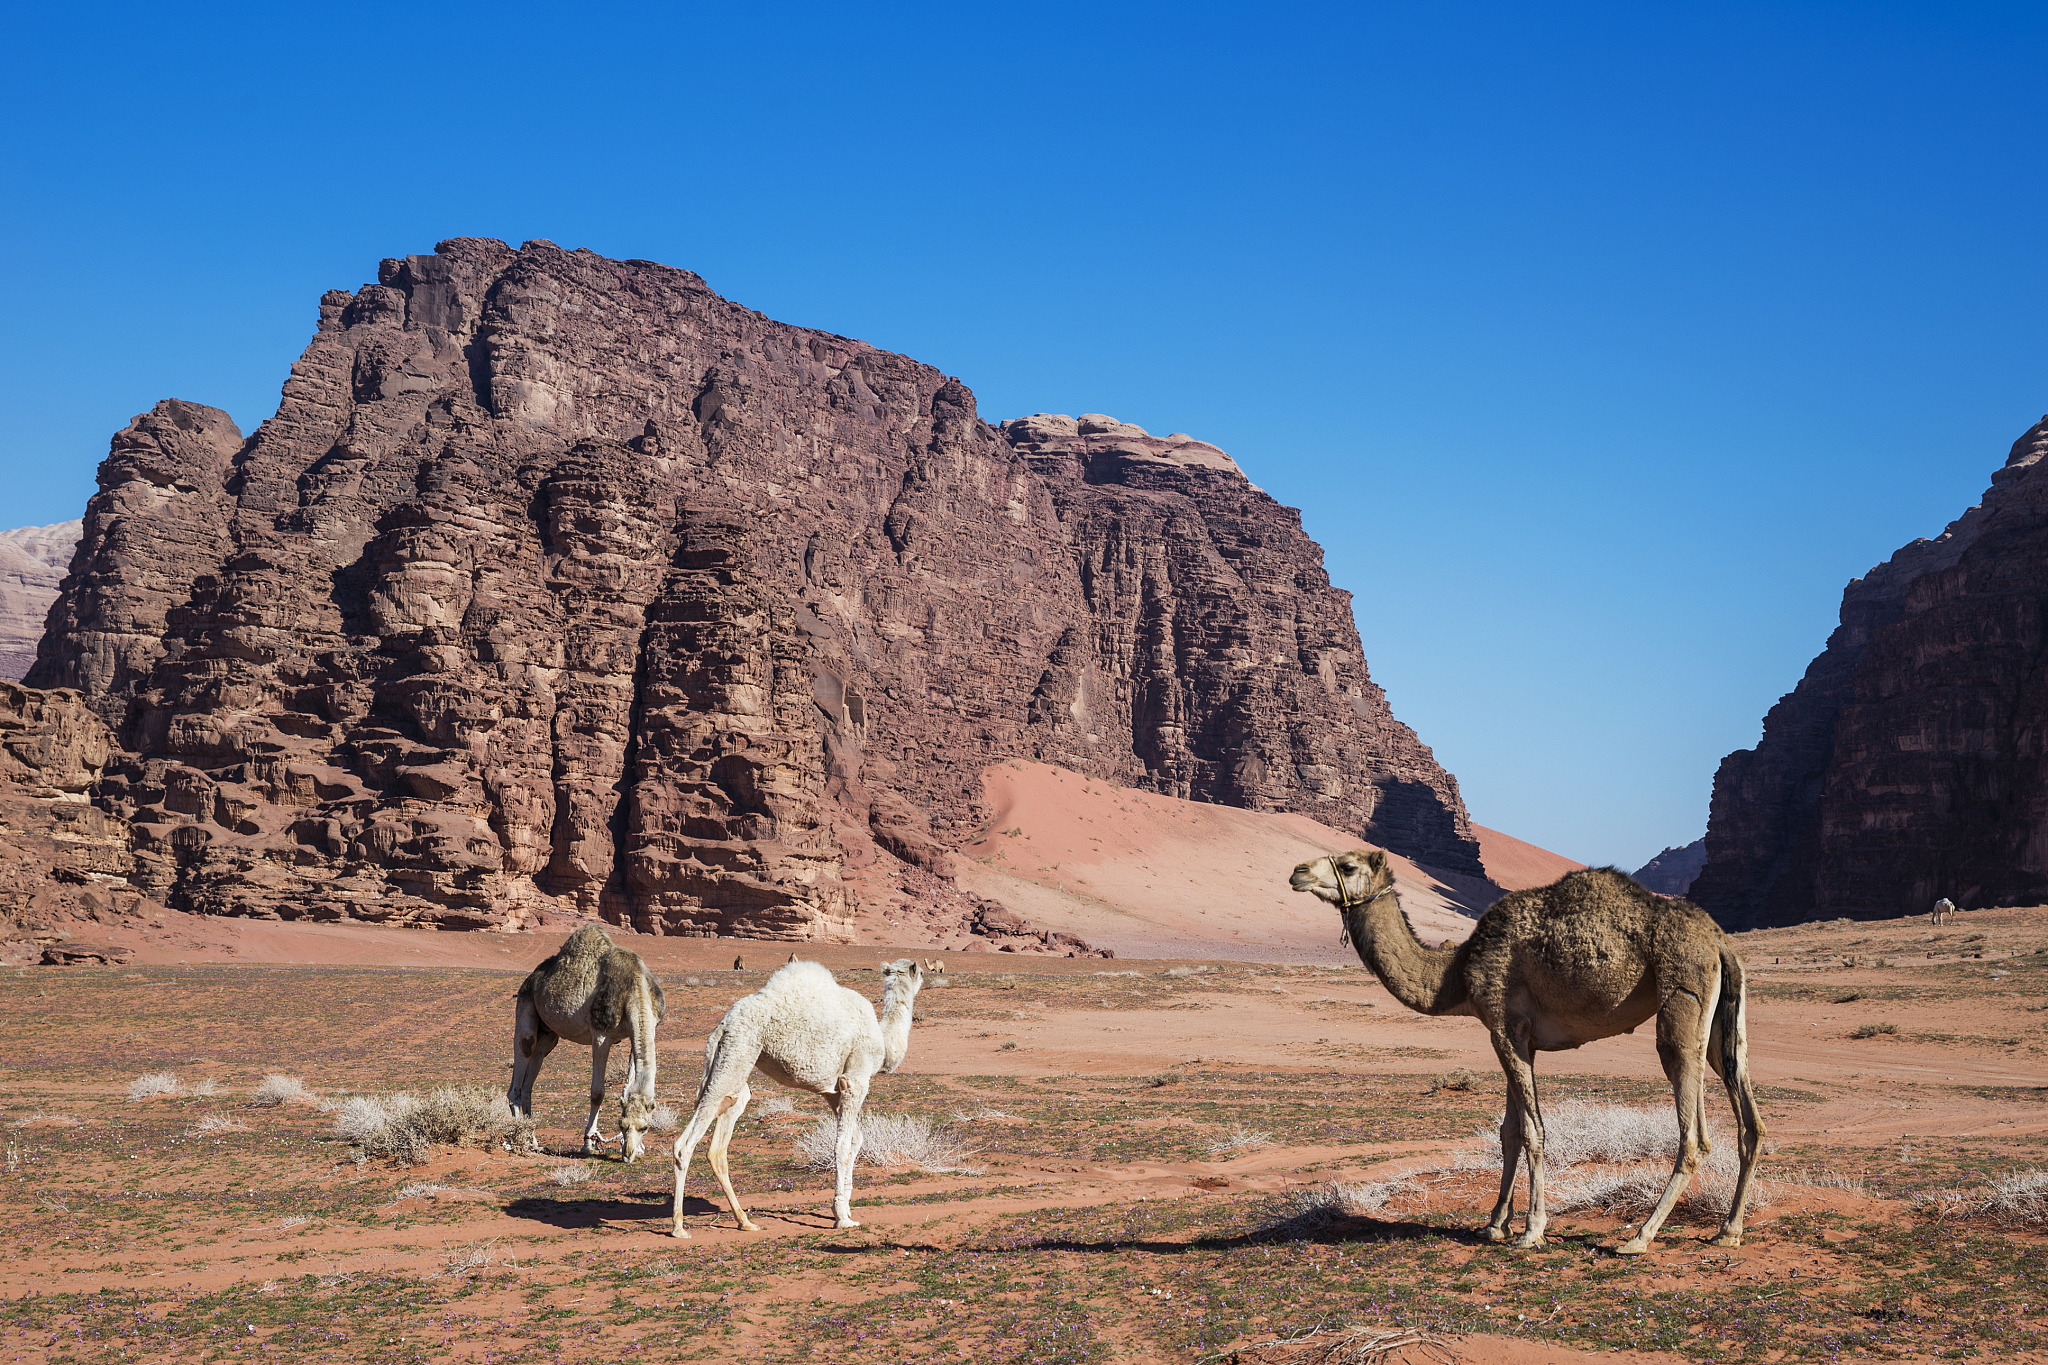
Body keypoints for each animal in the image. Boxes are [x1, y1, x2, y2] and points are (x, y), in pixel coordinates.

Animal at [508, 924, 667, 1162]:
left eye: (645, 1127)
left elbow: (629, 1085)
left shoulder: (634, 1034)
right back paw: (521, 1140)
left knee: (533, 1070)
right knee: (524, 1052)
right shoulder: (600, 1035)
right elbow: (597, 1092)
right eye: (621, 1124)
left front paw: (639, 1148)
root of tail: (531, 978)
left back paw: (534, 1141)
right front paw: (588, 1144)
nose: (628, 1155)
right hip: (526, 1001)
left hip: (548, 1033)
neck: (633, 988)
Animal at [670, 958, 924, 1238]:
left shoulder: (832, 1092)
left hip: (732, 1064)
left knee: (717, 1141)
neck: (883, 1041)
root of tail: (723, 1024)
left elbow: (856, 1140)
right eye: (921, 972)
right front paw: (841, 1217)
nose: (925, 974)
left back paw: (744, 1221)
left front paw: (846, 1210)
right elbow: (842, 1145)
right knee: (689, 1141)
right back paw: (679, 1226)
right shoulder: (855, 1081)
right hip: (739, 1050)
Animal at [1290, 850, 1764, 1255]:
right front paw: (1495, 1223)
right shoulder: (1514, 1037)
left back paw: (1639, 1237)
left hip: (1683, 998)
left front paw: (1532, 1229)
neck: (1455, 974)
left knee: (1694, 1130)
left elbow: (1533, 1131)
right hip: (1724, 1020)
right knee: (1749, 1118)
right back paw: (1728, 1230)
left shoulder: (1505, 1026)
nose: (1297, 872)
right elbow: (1510, 1131)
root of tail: (1719, 941)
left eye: (1347, 866)